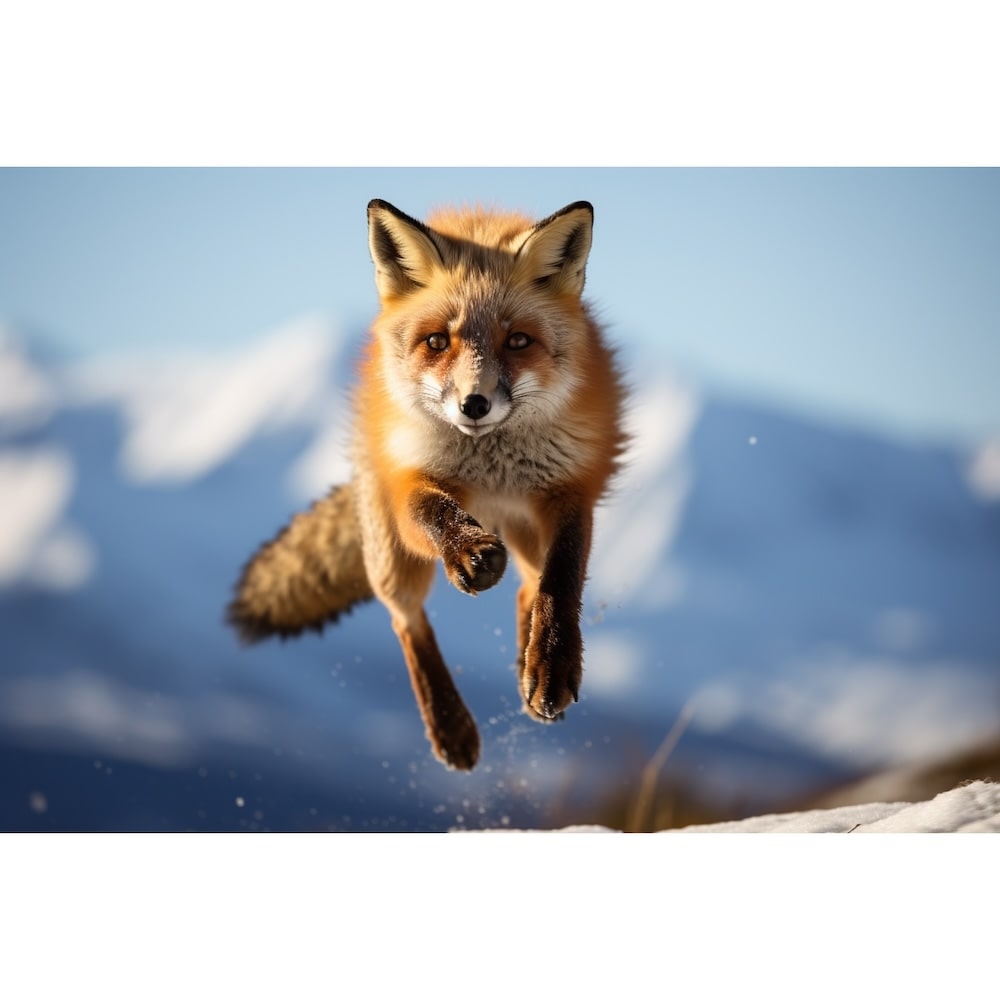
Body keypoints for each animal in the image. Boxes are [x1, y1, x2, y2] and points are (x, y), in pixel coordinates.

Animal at [228, 198, 627, 771]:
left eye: (518, 341)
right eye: (438, 341)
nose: (474, 404)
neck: (492, 470)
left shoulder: (568, 489)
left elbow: (562, 578)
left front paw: (551, 665)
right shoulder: (410, 481)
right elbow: (432, 513)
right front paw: (466, 551)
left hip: (527, 529)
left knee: (530, 582)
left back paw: (526, 665)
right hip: (389, 549)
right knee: (405, 618)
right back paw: (450, 725)